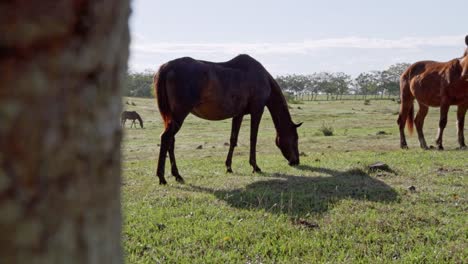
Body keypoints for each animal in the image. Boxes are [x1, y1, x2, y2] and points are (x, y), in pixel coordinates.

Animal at [152, 54, 302, 185]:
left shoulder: (238, 114)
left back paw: (177, 175)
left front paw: (229, 167)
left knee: (170, 141)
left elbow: (233, 139)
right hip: (179, 114)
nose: (296, 161)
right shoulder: (257, 110)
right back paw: (162, 177)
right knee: (166, 138)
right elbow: (253, 139)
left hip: (171, 117)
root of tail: (167, 66)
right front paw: (255, 166)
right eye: (295, 138)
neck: (263, 78)